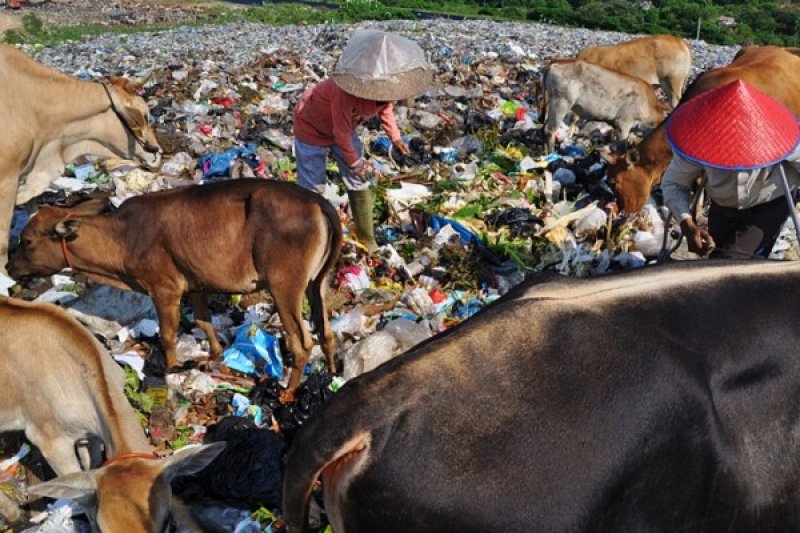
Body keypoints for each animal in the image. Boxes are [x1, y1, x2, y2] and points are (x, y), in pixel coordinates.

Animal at [0, 296, 225, 528]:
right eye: (103, 528)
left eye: (167, 521)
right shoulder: (51, 442)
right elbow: (81, 495)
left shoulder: (90, 435)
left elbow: (91, 464)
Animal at [7, 181, 344, 396]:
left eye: (27, 241)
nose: (9, 268)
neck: (123, 237)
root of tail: (317, 202)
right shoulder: (195, 284)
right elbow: (204, 323)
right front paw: (214, 356)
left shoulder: (164, 289)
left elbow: (168, 334)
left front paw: (172, 369)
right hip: (316, 284)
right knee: (326, 333)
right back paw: (333, 375)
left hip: (284, 287)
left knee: (302, 344)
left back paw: (289, 391)